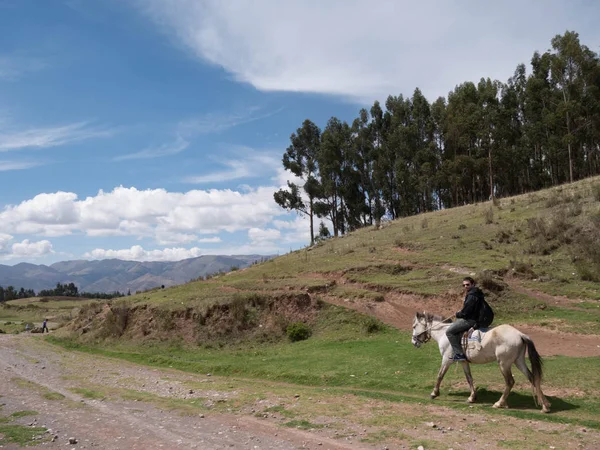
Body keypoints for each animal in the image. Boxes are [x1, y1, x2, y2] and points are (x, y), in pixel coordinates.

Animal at [410, 312, 552, 414]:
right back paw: (545, 405)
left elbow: (440, 375)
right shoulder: (463, 361)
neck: (444, 334)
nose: (414, 342)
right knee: (533, 378)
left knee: (510, 382)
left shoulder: (446, 359)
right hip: (519, 361)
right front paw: (472, 397)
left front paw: (434, 393)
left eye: (414, 326)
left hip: (504, 364)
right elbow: (469, 378)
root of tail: (520, 334)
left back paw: (499, 403)